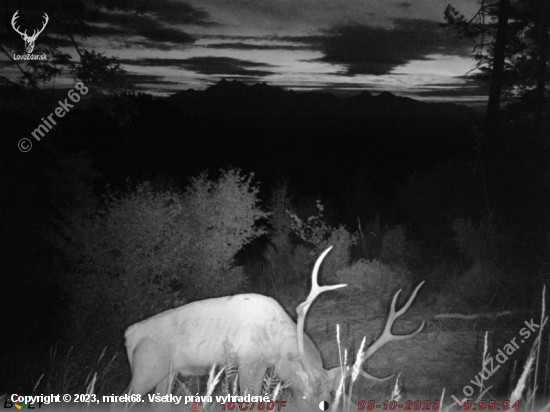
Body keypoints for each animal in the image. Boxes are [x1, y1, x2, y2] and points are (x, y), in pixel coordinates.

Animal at [117, 246, 426, 410]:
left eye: (328, 401)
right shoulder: (246, 363)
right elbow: (248, 400)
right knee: (118, 401)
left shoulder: (262, 365)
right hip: (146, 369)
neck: (277, 345)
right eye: (312, 400)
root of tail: (129, 335)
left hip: (165, 375)